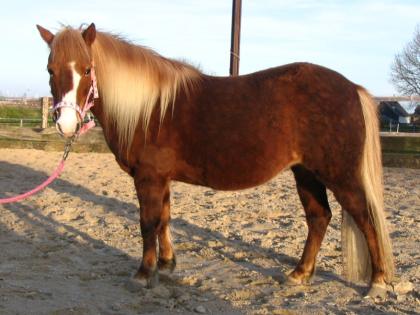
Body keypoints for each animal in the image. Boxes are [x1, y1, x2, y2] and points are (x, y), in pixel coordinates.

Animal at [36, 23, 394, 298]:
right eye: (50, 70)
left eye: (86, 70)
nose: (65, 124)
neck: (149, 108)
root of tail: (353, 88)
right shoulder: (161, 179)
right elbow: (164, 218)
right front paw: (167, 264)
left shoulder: (148, 177)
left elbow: (148, 223)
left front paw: (144, 273)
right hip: (306, 173)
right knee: (319, 217)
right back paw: (299, 273)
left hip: (340, 176)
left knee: (365, 218)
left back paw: (377, 282)